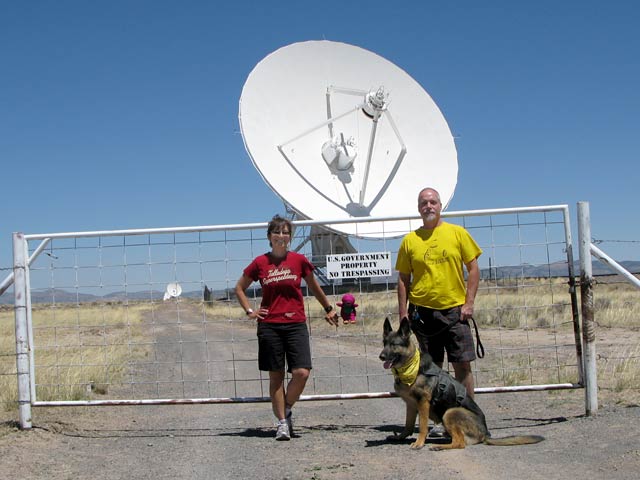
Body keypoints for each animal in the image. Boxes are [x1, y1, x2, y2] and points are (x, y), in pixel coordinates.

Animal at [380, 318, 544, 450]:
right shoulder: (411, 404)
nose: (381, 356)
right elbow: (408, 425)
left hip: (450, 412)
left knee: (460, 443)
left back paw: (439, 446)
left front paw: (419, 443)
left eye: (394, 344)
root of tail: (485, 434)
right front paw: (400, 437)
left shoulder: (423, 403)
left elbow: (422, 426)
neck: (411, 369)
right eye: (384, 343)